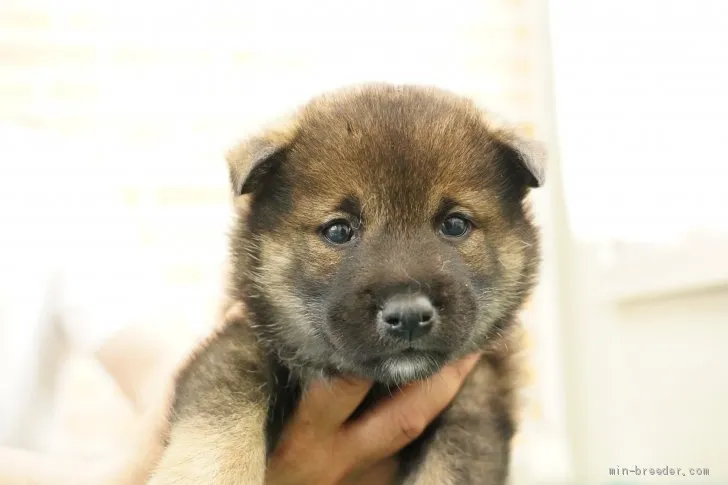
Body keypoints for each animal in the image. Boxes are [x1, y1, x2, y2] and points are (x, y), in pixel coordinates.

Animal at [148, 84, 544, 484]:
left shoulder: (479, 388)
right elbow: (223, 408)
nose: (409, 316)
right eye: (338, 230)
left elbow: (454, 461)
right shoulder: (244, 338)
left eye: (455, 225)